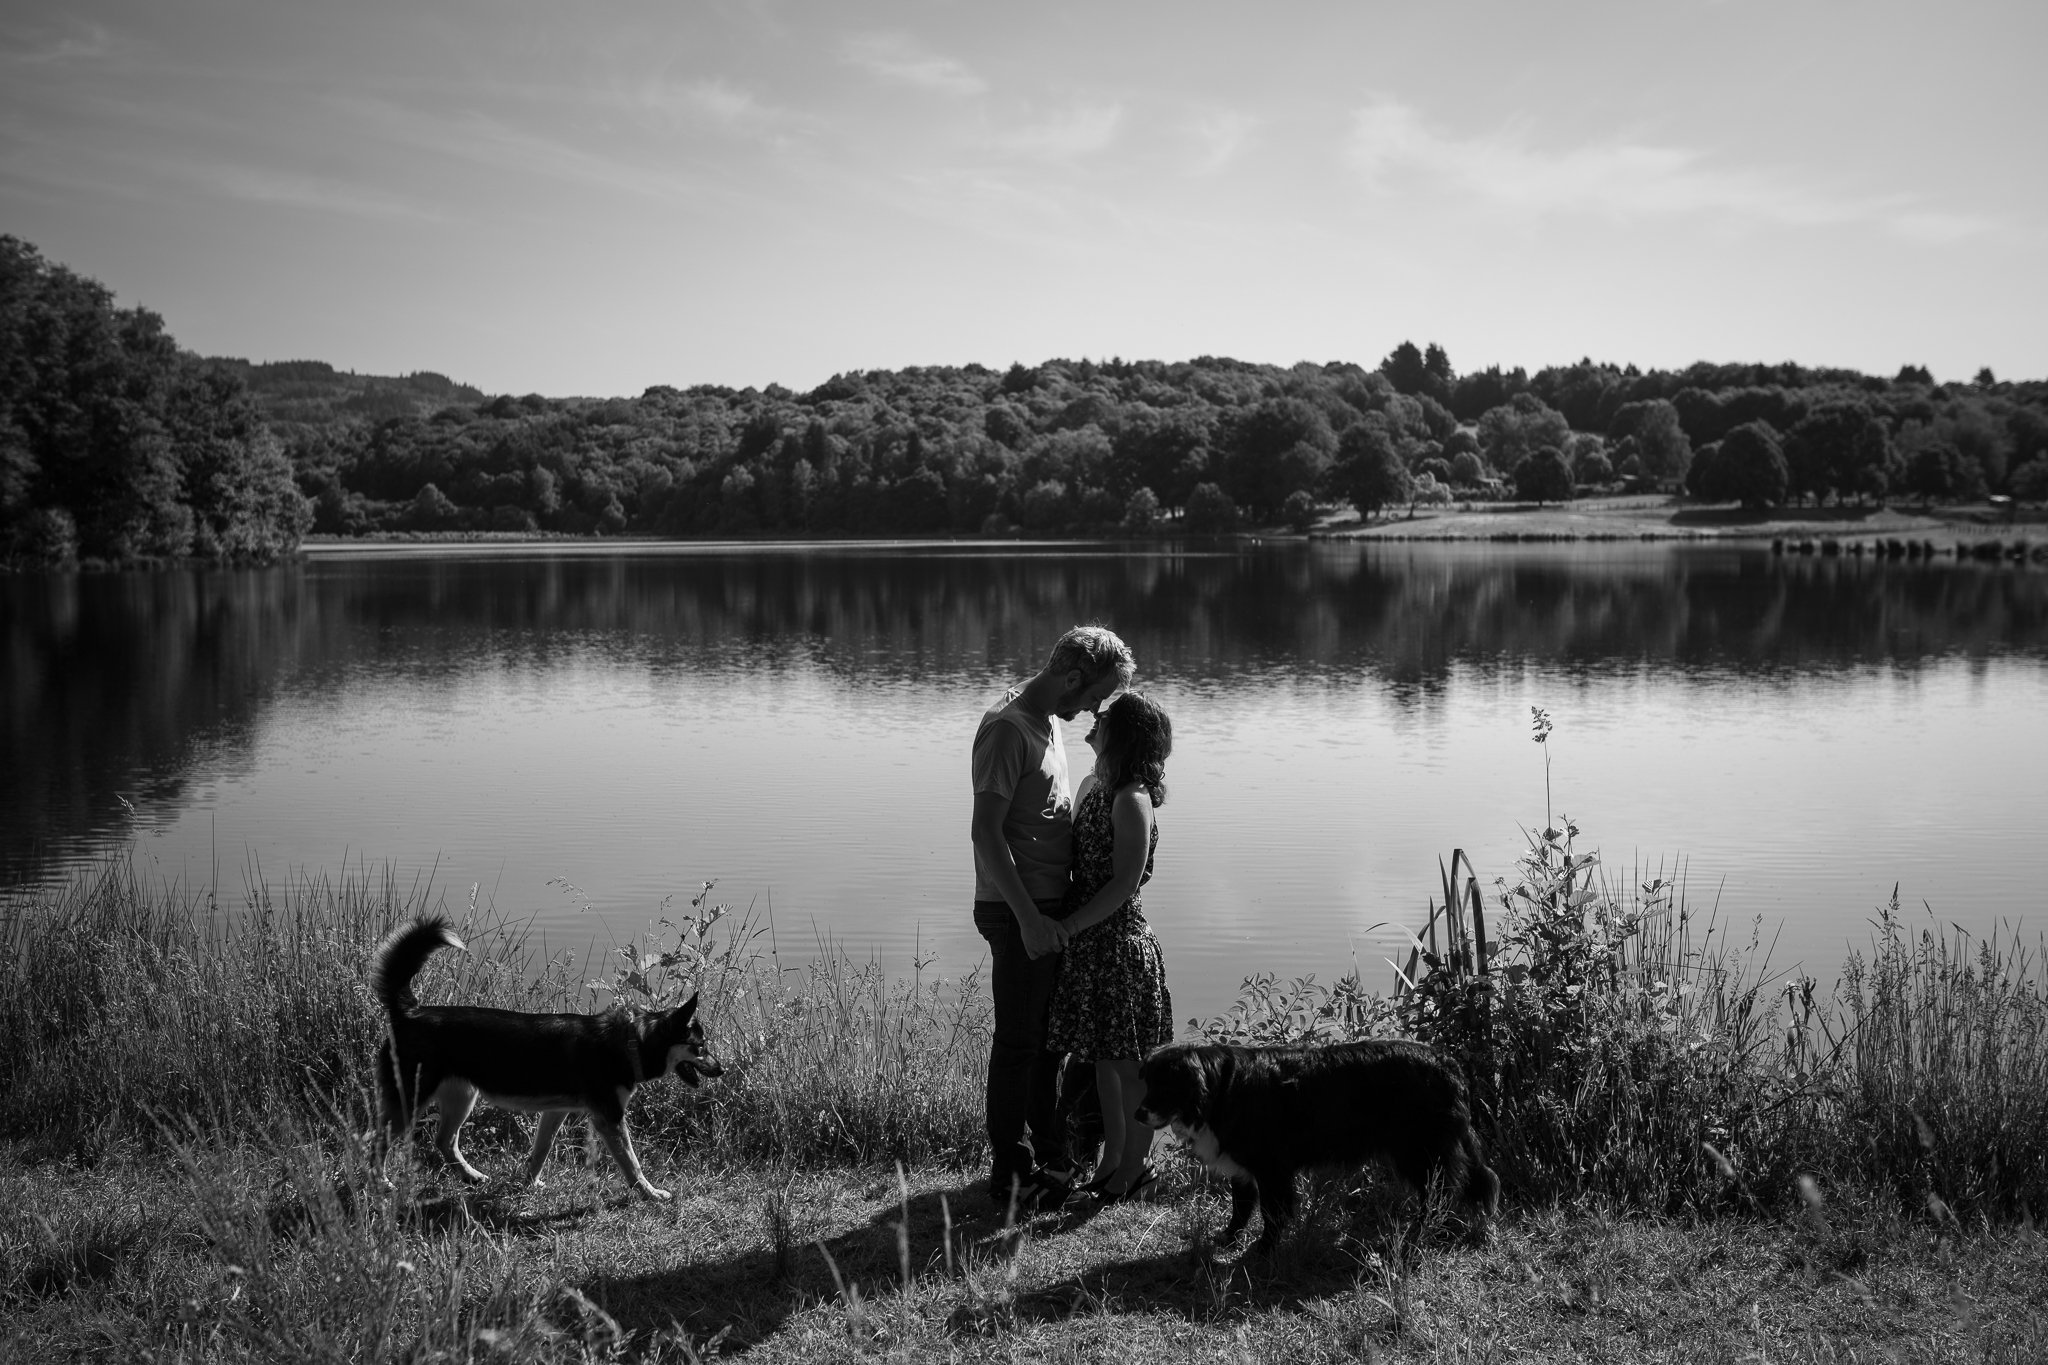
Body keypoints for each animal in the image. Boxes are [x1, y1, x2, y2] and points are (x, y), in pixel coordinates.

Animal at [374, 916, 720, 1203]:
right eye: (701, 1046)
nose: (722, 1069)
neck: (630, 1042)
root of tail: (409, 1012)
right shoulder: (609, 1118)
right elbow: (631, 1163)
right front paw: (650, 1193)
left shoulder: (556, 1111)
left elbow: (541, 1150)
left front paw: (530, 1183)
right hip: (410, 1100)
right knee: (374, 1141)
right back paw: (381, 1183)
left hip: (462, 1096)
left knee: (444, 1140)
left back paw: (470, 1176)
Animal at [1130, 1039, 1499, 1252]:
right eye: (1148, 1083)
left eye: (1165, 1086)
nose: (1137, 1113)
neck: (1220, 1089)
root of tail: (1451, 1065)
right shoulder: (1244, 1167)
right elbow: (1241, 1207)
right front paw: (1229, 1238)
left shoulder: (1271, 1166)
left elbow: (1273, 1211)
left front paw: (1264, 1248)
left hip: (1419, 1151)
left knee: (1439, 1194)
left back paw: (1419, 1234)